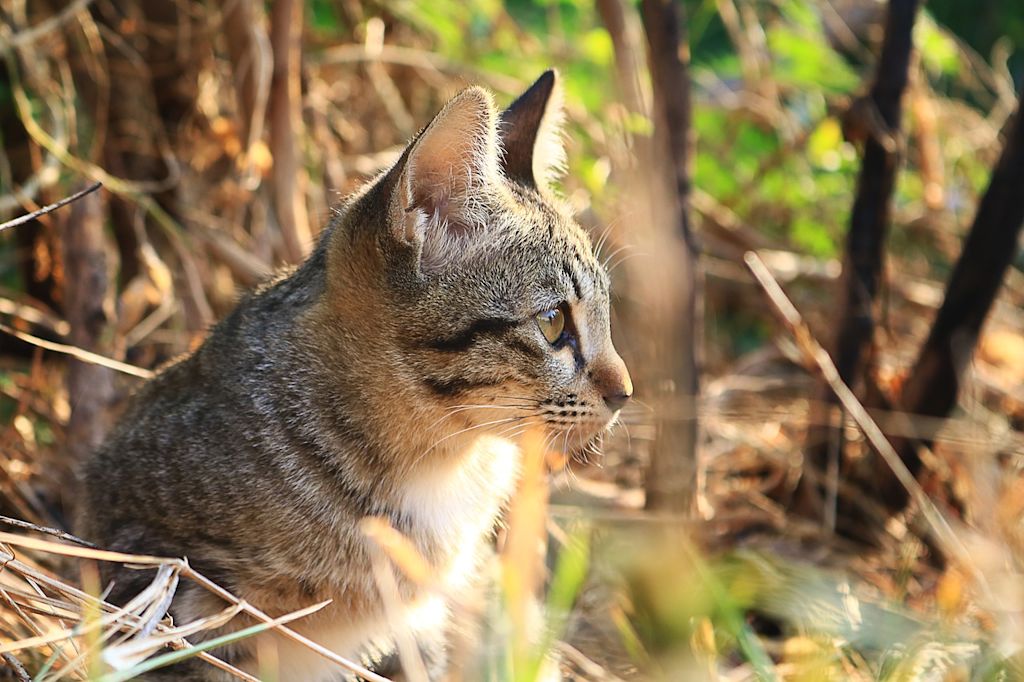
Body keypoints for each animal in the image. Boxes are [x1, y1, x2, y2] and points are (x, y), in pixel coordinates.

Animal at [77, 71, 630, 675]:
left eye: (606, 314)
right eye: (554, 324)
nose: (625, 391)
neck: (433, 465)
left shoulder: (420, 622)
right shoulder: (159, 566)